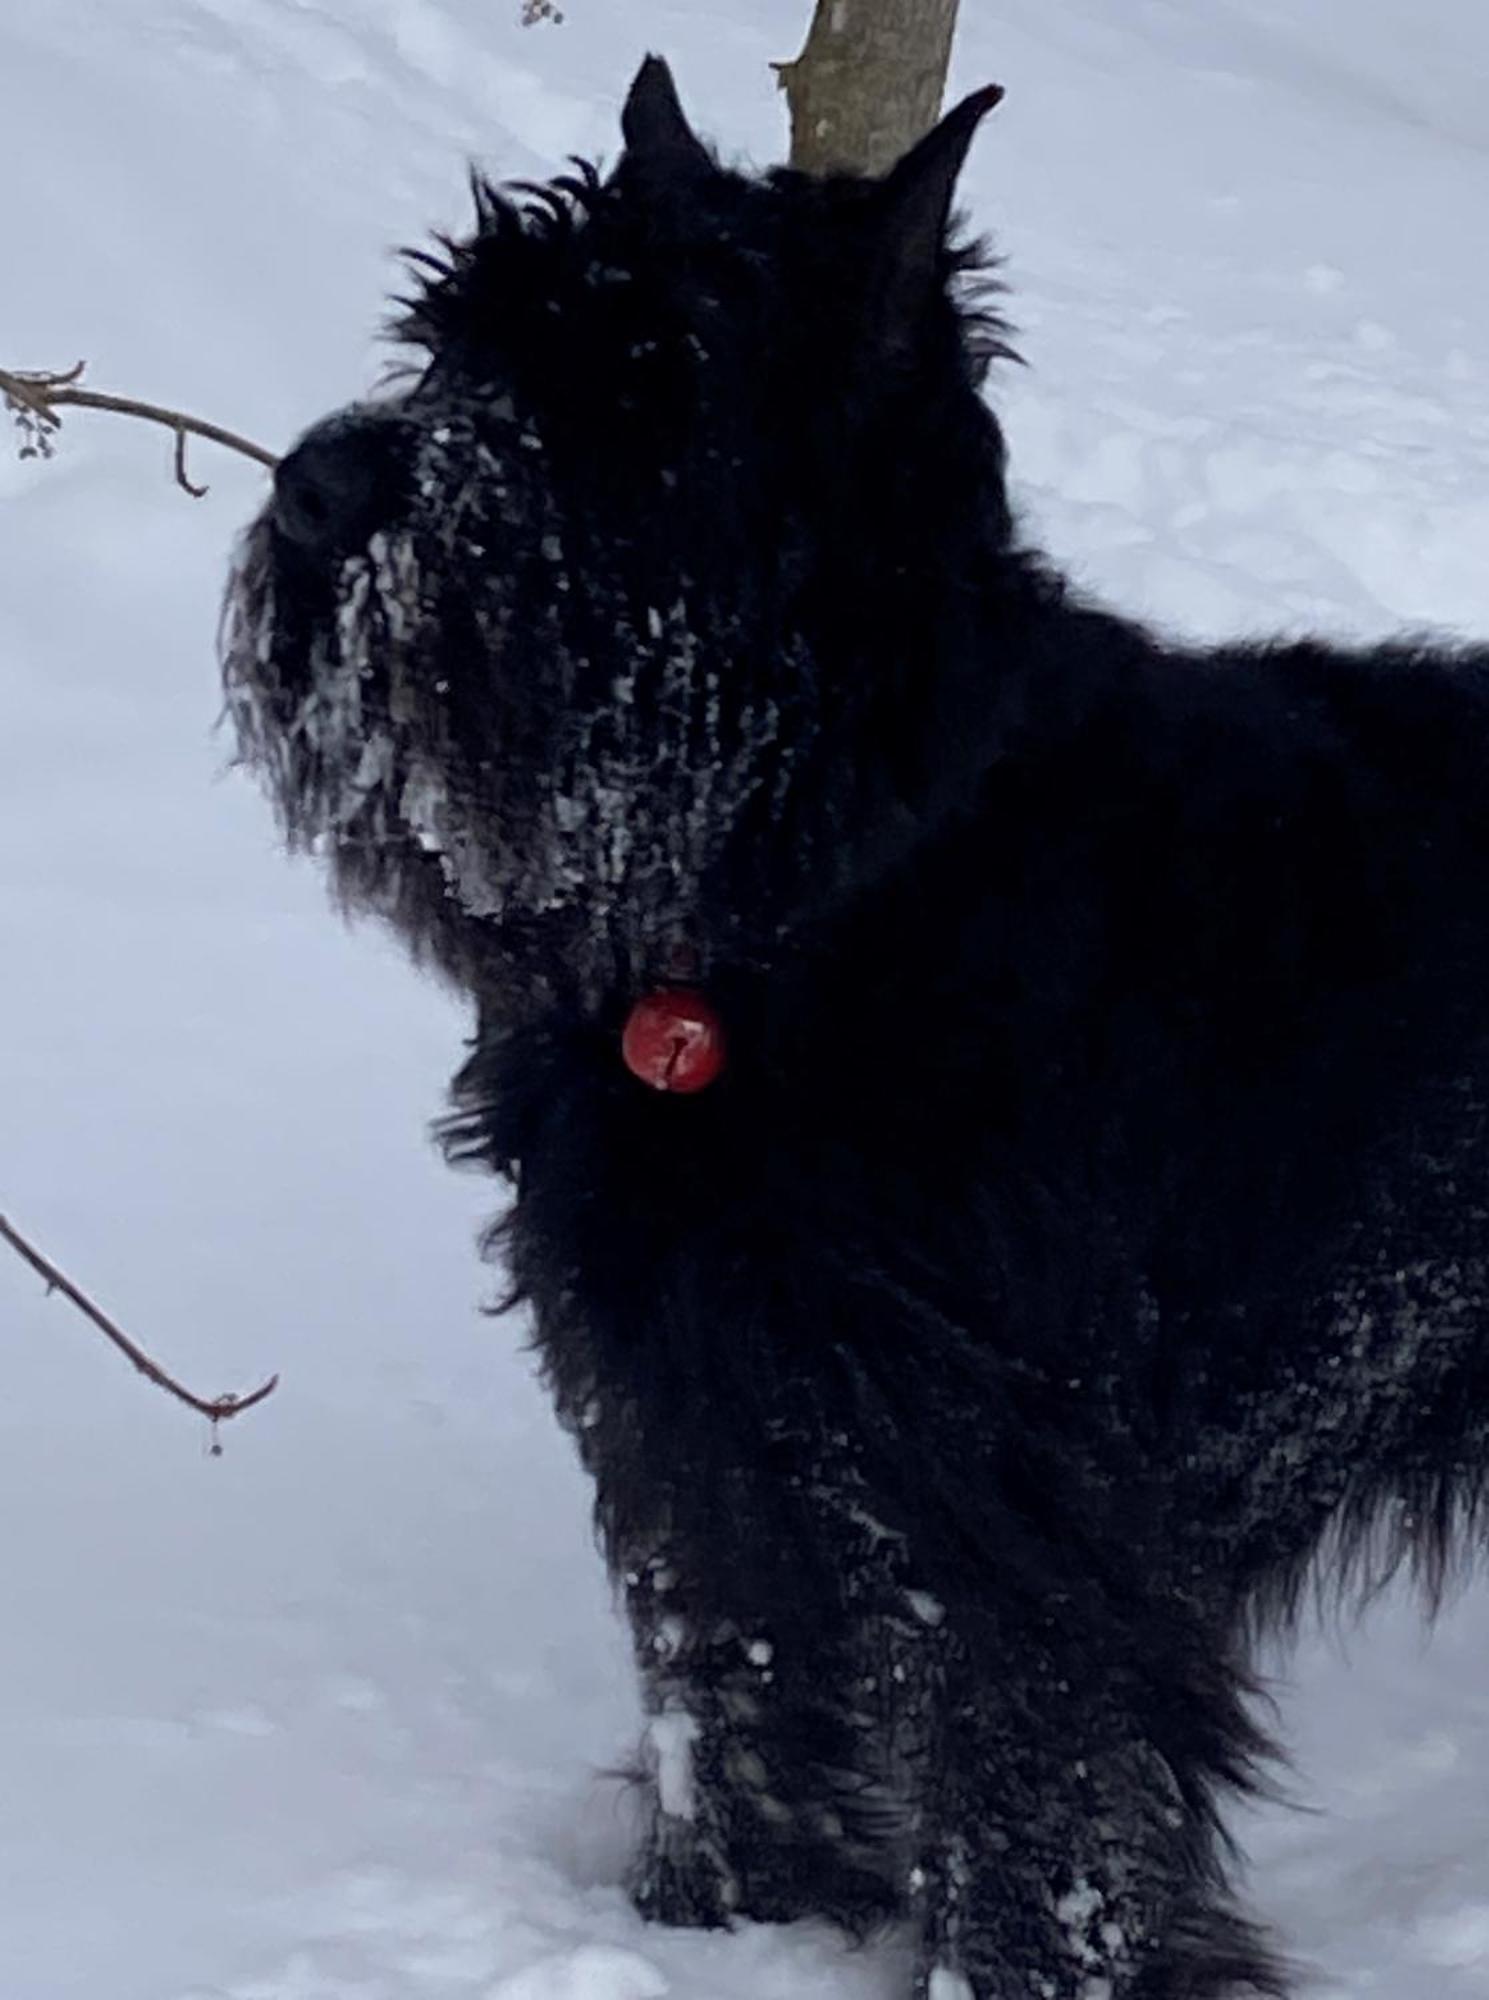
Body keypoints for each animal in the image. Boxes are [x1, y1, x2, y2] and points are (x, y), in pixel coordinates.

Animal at [221, 54, 1489, 2000]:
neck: (831, 890)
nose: (315, 485)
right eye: (447, 340)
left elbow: (1034, 1793)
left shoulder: (1004, 1496)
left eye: (645, 382)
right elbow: (727, 1690)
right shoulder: (690, 1414)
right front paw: (717, 1918)